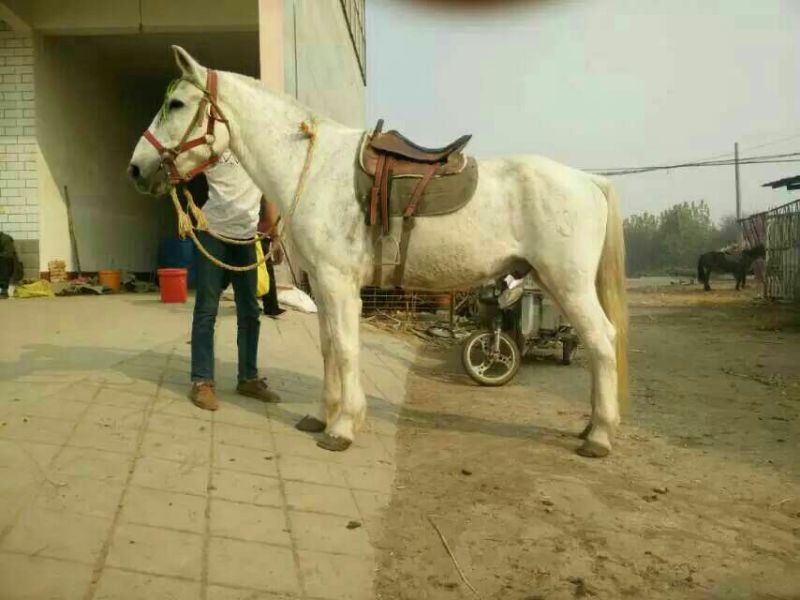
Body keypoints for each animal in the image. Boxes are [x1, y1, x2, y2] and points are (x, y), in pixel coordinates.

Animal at [128, 47, 628, 458]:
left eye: (176, 104)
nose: (136, 169)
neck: (312, 168)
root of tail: (588, 181)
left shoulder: (339, 282)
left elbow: (346, 348)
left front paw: (343, 428)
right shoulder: (322, 285)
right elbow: (329, 348)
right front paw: (323, 416)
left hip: (567, 283)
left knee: (601, 341)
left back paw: (600, 437)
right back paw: (590, 429)